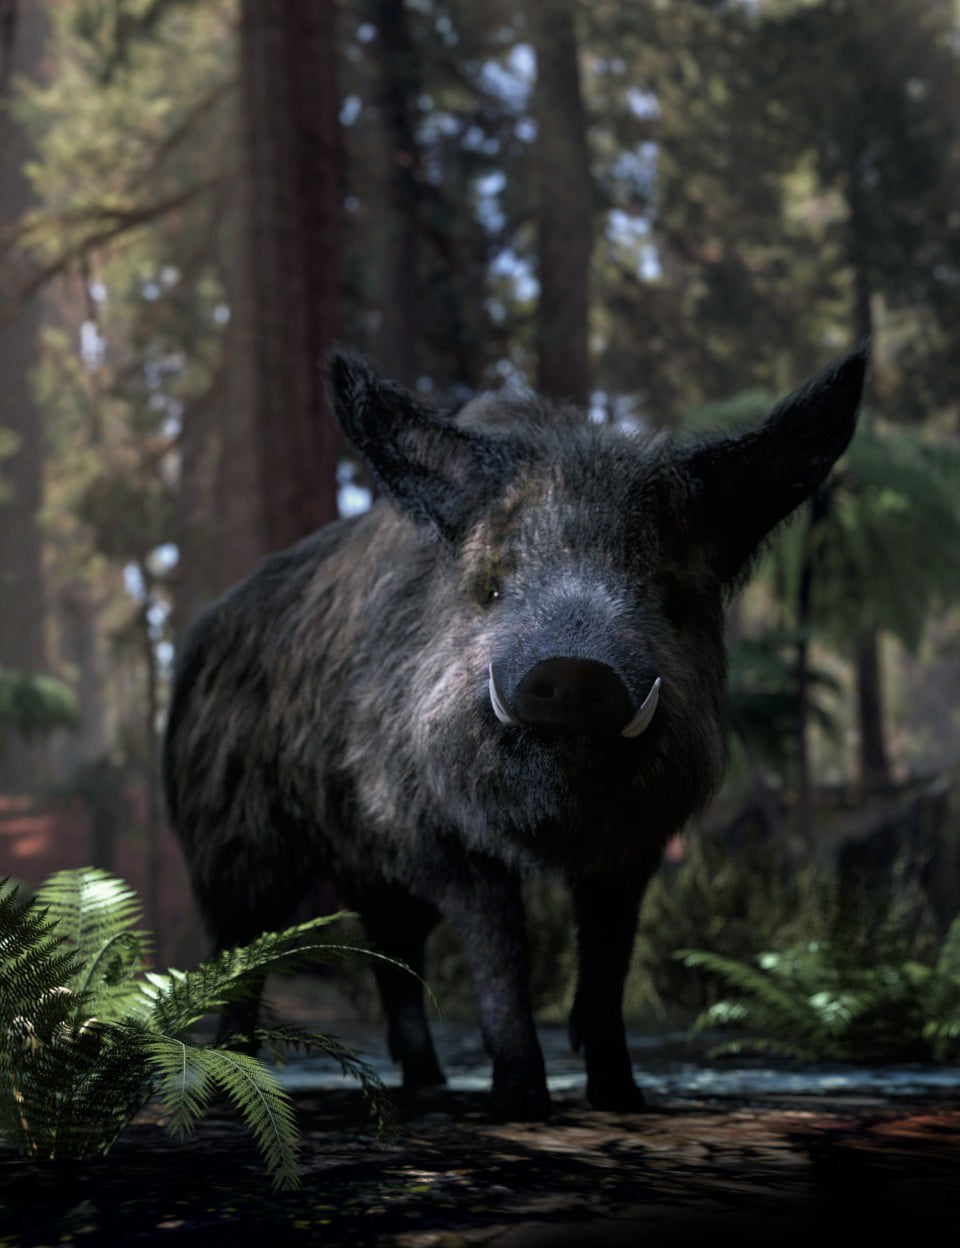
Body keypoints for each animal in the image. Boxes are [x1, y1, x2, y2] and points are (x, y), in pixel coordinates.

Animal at [163, 343, 868, 1120]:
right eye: (492, 585)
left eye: (672, 596)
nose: (577, 670)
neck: (553, 828)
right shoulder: (435, 831)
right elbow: (500, 950)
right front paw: (523, 1102)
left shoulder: (636, 843)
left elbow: (609, 955)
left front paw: (621, 1097)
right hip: (230, 837)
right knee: (244, 944)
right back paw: (235, 1071)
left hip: (365, 866)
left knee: (394, 952)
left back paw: (428, 1082)